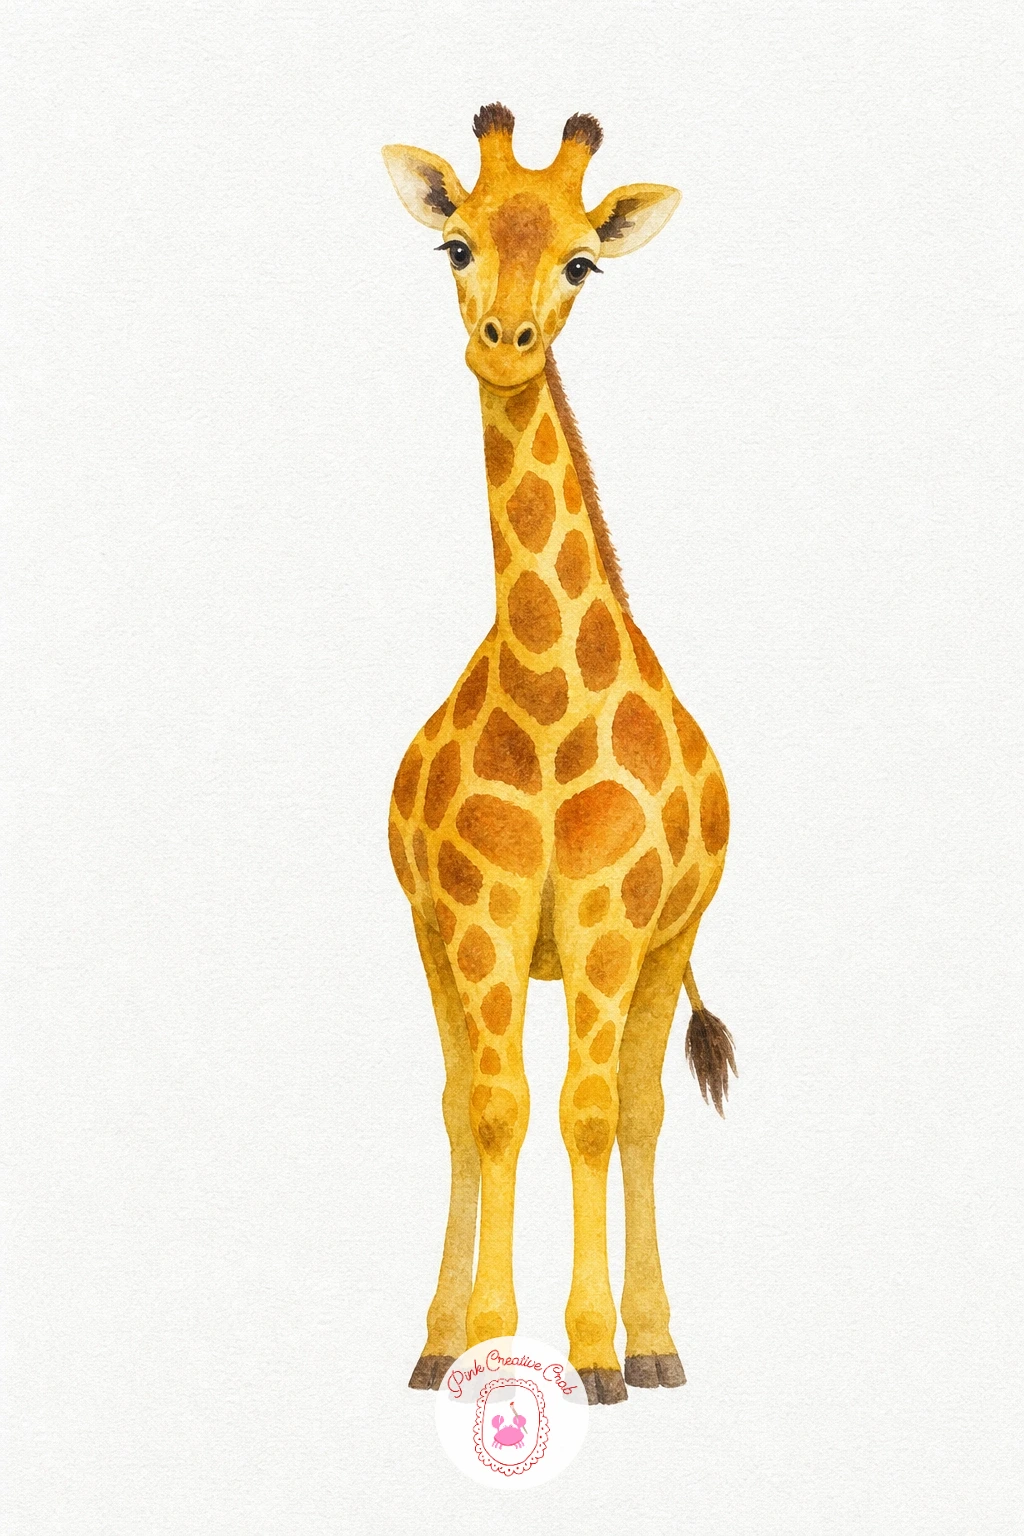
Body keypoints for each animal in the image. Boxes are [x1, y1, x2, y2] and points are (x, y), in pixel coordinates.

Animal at [382, 104, 737, 1407]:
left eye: (583, 262)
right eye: (456, 245)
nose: (504, 343)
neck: (544, 695)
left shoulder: (609, 917)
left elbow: (589, 1113)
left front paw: (595, 1354)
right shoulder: (479, 915)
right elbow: (495, 1109)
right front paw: (483, 1338)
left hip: (669, 942)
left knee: (636, 1112)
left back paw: (655, 1342)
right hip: (431, 938)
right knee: (454, 1103)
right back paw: (437, 1340)